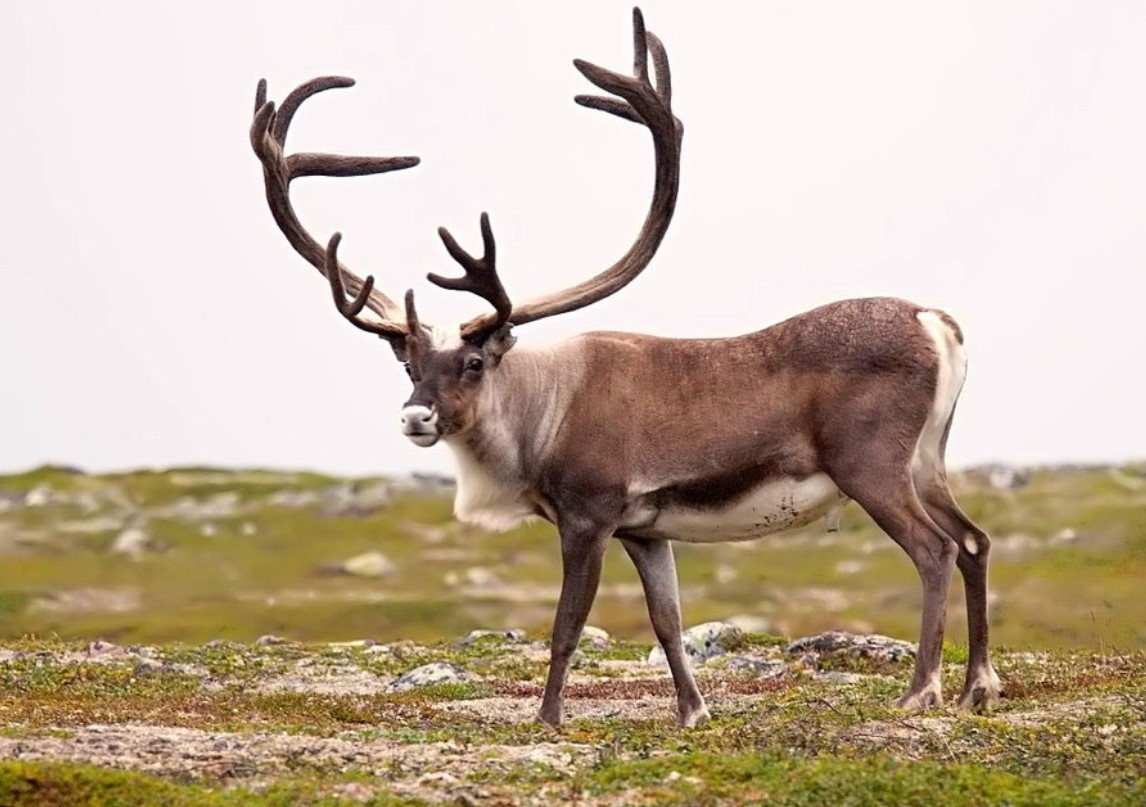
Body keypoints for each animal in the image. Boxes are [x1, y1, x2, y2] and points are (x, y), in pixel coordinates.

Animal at [249, 8, 1001, 727]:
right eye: (407, 361)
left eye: (472, 360)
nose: (414, 415)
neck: (542, 415)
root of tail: (935, 321)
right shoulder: (645, 529)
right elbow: (668, 621)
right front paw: (693, 711)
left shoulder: (590, 515)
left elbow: (566, 626)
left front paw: (548, 717)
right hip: (927, 460)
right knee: (974, 540)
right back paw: (978, 686)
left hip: (870, 464)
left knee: (935, 549)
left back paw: (921, 692)